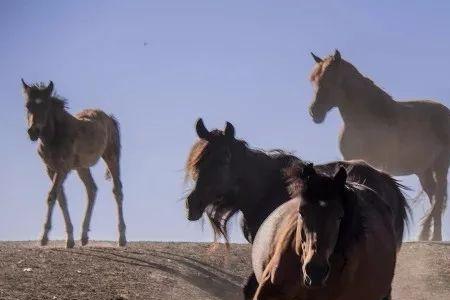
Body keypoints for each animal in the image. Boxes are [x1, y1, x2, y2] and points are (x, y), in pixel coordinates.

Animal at [21, 79, 126, 248]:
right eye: (27, 105)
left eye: (46, 106)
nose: (33, 132)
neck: (53, 136)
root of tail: (110, 118)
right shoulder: (50, 169)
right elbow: (61, 198)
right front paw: (69, 239)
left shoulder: (62, 169)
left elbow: (52, 196)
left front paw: (43, 237)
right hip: (82, 167)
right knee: (92, 189)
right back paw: (83, 237)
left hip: (111, 156)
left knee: (117, 190)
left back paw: (121, 238)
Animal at [308, 49, 450, 241]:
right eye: (314, 80)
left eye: (329, 79)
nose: (314, 112)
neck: (365, 120)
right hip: (424, 170)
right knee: (435, 196)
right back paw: (432, 235)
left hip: (441, 165)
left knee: (439, 196)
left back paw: (428, 235)